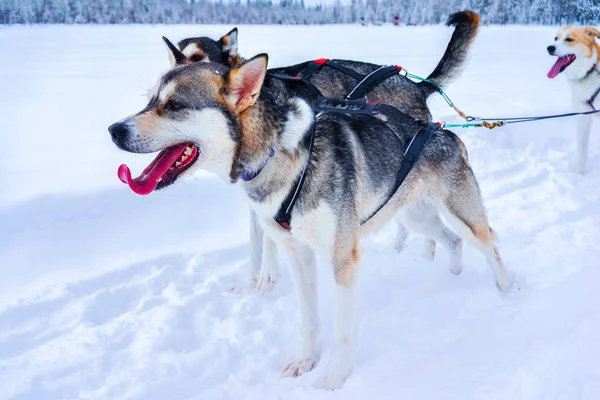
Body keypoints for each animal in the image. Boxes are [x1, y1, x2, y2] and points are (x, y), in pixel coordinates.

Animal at [108, 52, 510, 388]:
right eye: (149, 100)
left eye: (174, 105)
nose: (114, 130)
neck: (278, 155)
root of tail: (442, 131)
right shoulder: (296, 253)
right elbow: (310, 318)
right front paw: (306, 361)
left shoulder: (343, 259)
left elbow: (343, 330)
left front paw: (334, 380)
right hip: (417, 217)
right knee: (451, 240)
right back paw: (451, 275)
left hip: (463, 215)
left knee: (490, 245)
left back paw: (508, 291)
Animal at [166, 10, 480, 290]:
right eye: (173, 59)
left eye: (197, 58)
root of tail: (417, 86)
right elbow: (258, 240)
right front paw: (249, 281)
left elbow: (269, 242)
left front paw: (267, 278)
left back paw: (421, 254)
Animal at [548, 26, 600, 173]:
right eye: (556, 38)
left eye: (569, 39)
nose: (549, 48)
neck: (590, 70)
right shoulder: (583, 118)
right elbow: (582, 152)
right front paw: (580, 174)